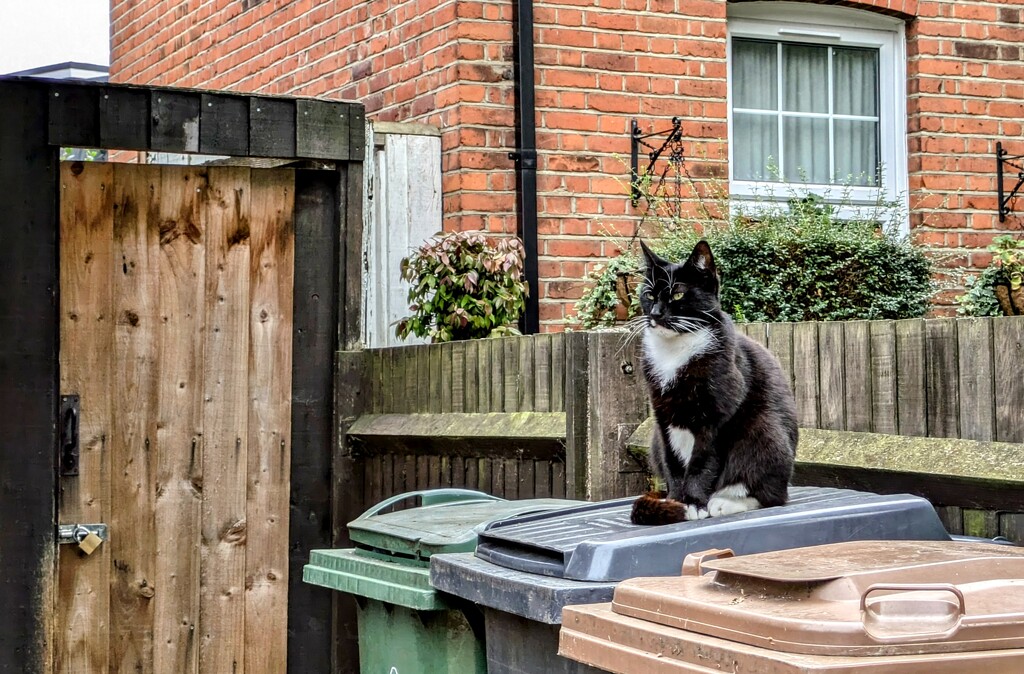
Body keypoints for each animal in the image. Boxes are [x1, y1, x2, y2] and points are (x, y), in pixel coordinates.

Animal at [622, 237, 798, 524]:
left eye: (678, 294)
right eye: (648, 295)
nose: (656, 314)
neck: (675, 351)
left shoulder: (715, 416)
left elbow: (702, 463)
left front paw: (694, 502)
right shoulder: (662, 415)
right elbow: (673, 462)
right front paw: (676, 502)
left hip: (765, 432)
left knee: (770, 495)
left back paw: (724, 502)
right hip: (654, 441)